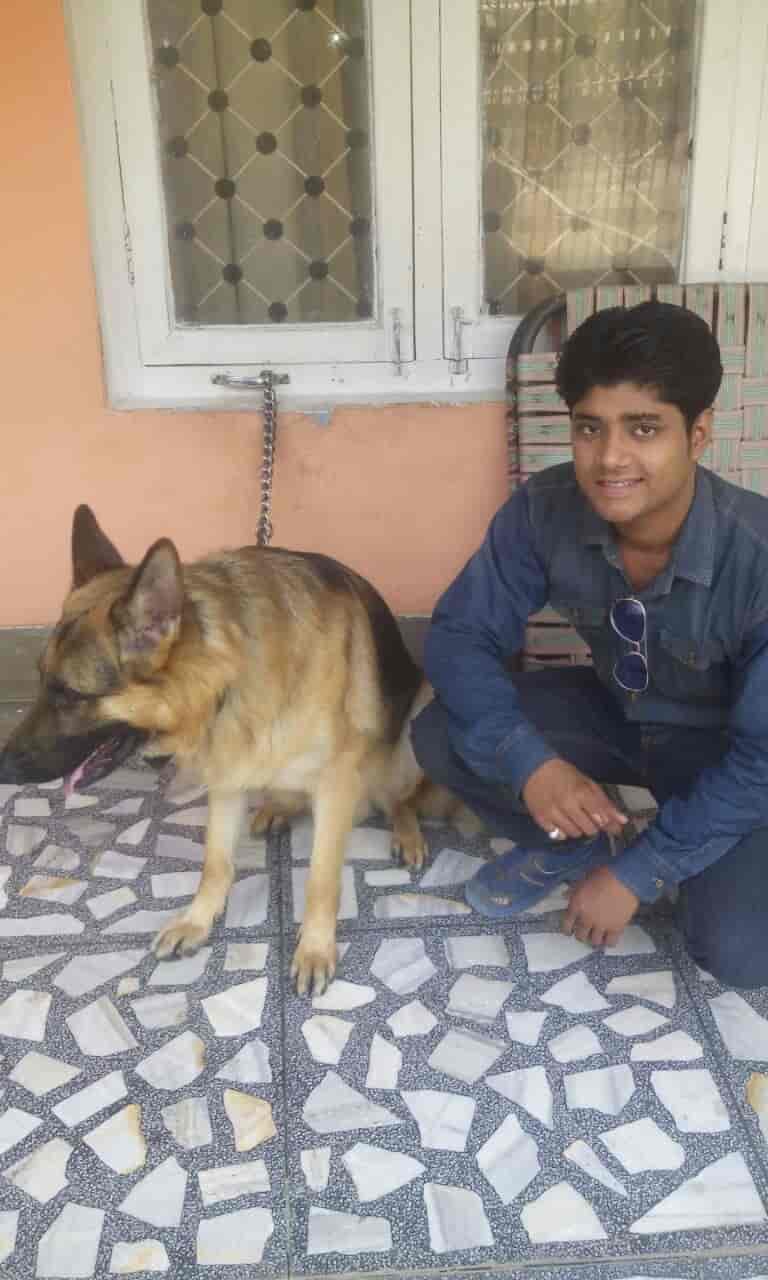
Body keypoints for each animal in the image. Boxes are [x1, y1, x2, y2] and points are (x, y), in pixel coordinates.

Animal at [0, 506, 480, 994]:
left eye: (70, 695)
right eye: (42, 681)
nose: (3, 767)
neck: (229, 678)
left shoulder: (334, 783)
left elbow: (322, 880)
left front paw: (314, 948)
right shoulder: (227, 774)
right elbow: (216, 862)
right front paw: (197, 921)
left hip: (420, 713)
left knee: (400, 799)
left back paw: (406, 832)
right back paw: (278, 807)